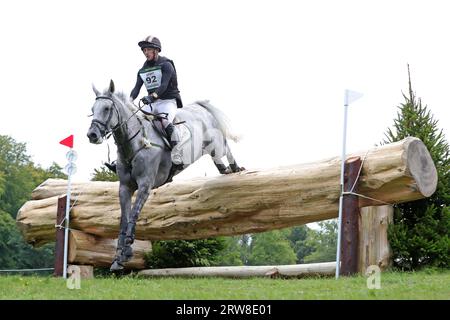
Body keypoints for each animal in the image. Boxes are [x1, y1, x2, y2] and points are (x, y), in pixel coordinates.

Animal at [86, 80, 244, 270]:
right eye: (92, 109)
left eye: (107, 108)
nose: (92, 135)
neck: (135, 143)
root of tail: (200, 107)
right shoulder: (124, 187)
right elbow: (124, 218)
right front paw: (118, 259)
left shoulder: (145, 185)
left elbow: (134, 214)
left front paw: (128, 250)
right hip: (207, 148)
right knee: (217, 158)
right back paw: (224, 169)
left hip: (216, 142)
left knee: (226, 149)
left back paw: (235, 168)